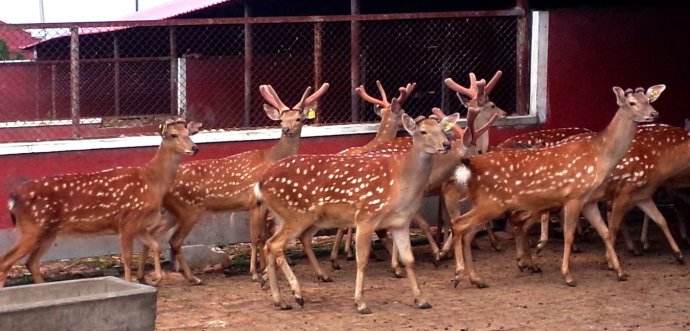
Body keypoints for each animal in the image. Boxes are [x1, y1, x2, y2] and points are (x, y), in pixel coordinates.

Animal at [1, 119, 202, 288]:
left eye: (188, 133)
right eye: (173, 135)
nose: (194, 148)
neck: (151, 181)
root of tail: (13, 198)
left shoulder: (139, 225)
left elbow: (155, 245)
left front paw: (156, 278)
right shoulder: (126, 220)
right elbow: (127, 257)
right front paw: (130, 283)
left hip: (48, 231)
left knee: (32, 262)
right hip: (32, 227)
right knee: (6, 261)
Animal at [159, 83, 328, 286]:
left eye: (299, 118)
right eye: (281, 119)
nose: (287, 129)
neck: (271, 158)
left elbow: (263, 236)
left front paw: (264, 269)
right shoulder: (255, 201)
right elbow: (256, 237)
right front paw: (255, 273)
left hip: (173, 212)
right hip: (189, 210)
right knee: (175, 241)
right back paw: (192, 277)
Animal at [253, 105, 456, 316]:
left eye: (442, 130)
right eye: (423, 131)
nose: (446, 144)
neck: (400, 184)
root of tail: (261, 182)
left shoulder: (401, 222)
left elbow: (409, 259)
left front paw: (421, 300)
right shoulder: (367, 215)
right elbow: (362, 260)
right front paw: (360, 303)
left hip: (287, 216)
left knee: (270, 244)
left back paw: (280, 300)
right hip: (297, 214)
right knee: (275, 244)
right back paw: (297, 294)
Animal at [446, 85, 660, 288]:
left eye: (648, 100)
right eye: (632, 102)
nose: (654, 114)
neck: (600, 157)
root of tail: (471, 166)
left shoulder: (588, 200)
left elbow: (605, 232)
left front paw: (620, 272)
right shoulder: (574, 195)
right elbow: (569, 235)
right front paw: (568, 276)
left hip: (486, 203)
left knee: (468, 232)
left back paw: (476, 279)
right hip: (491, 203)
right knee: (459, 224)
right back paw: (458, 275)